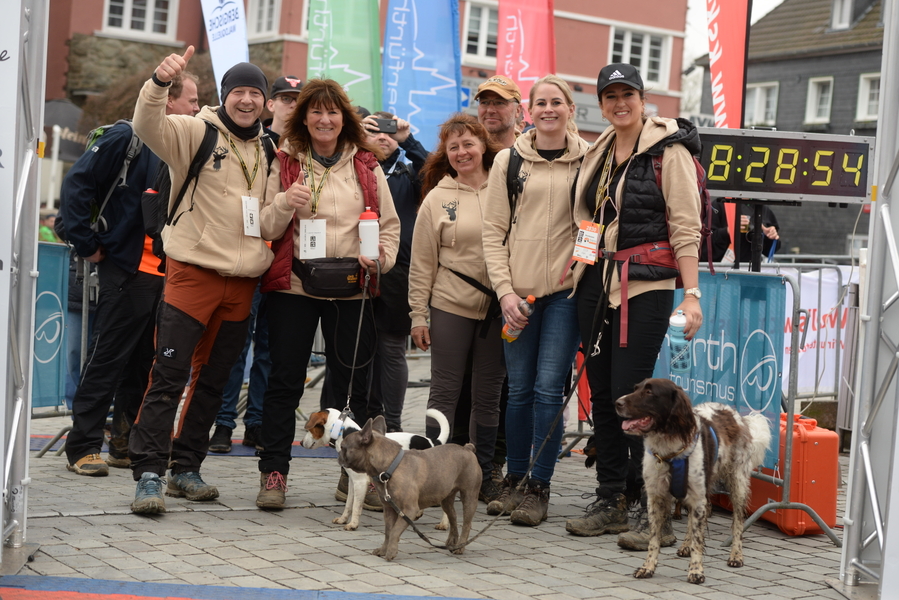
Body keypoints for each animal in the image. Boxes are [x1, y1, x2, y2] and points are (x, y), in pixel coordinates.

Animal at [620, 378, 772, 584]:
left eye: (649, 392)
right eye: (636, 389)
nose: (617, 403)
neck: (669, 449)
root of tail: (737, 416)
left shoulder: (698, 496)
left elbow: (699, 538)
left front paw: (696, 571)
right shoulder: (656, 497)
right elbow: (654, 539)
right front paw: (647, 567)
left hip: (737, 484)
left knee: (738, 522)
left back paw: (736, 555)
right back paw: (686, 545)